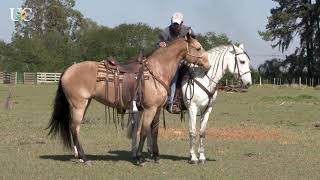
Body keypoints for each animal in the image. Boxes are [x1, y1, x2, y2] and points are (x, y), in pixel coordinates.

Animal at [47, 29, 210, 166]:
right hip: (78, 105)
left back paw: (80, 157)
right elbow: (143, 131)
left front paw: (156, 157)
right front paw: (139, 158)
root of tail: (67, 71)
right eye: (198, 48)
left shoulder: (157, 109)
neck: (157, 71)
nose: (208, 65)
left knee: (74, 128)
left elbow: (154, 132)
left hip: (84, 104)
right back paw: (85, 158)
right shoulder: (150, 109)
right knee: (74, 128)